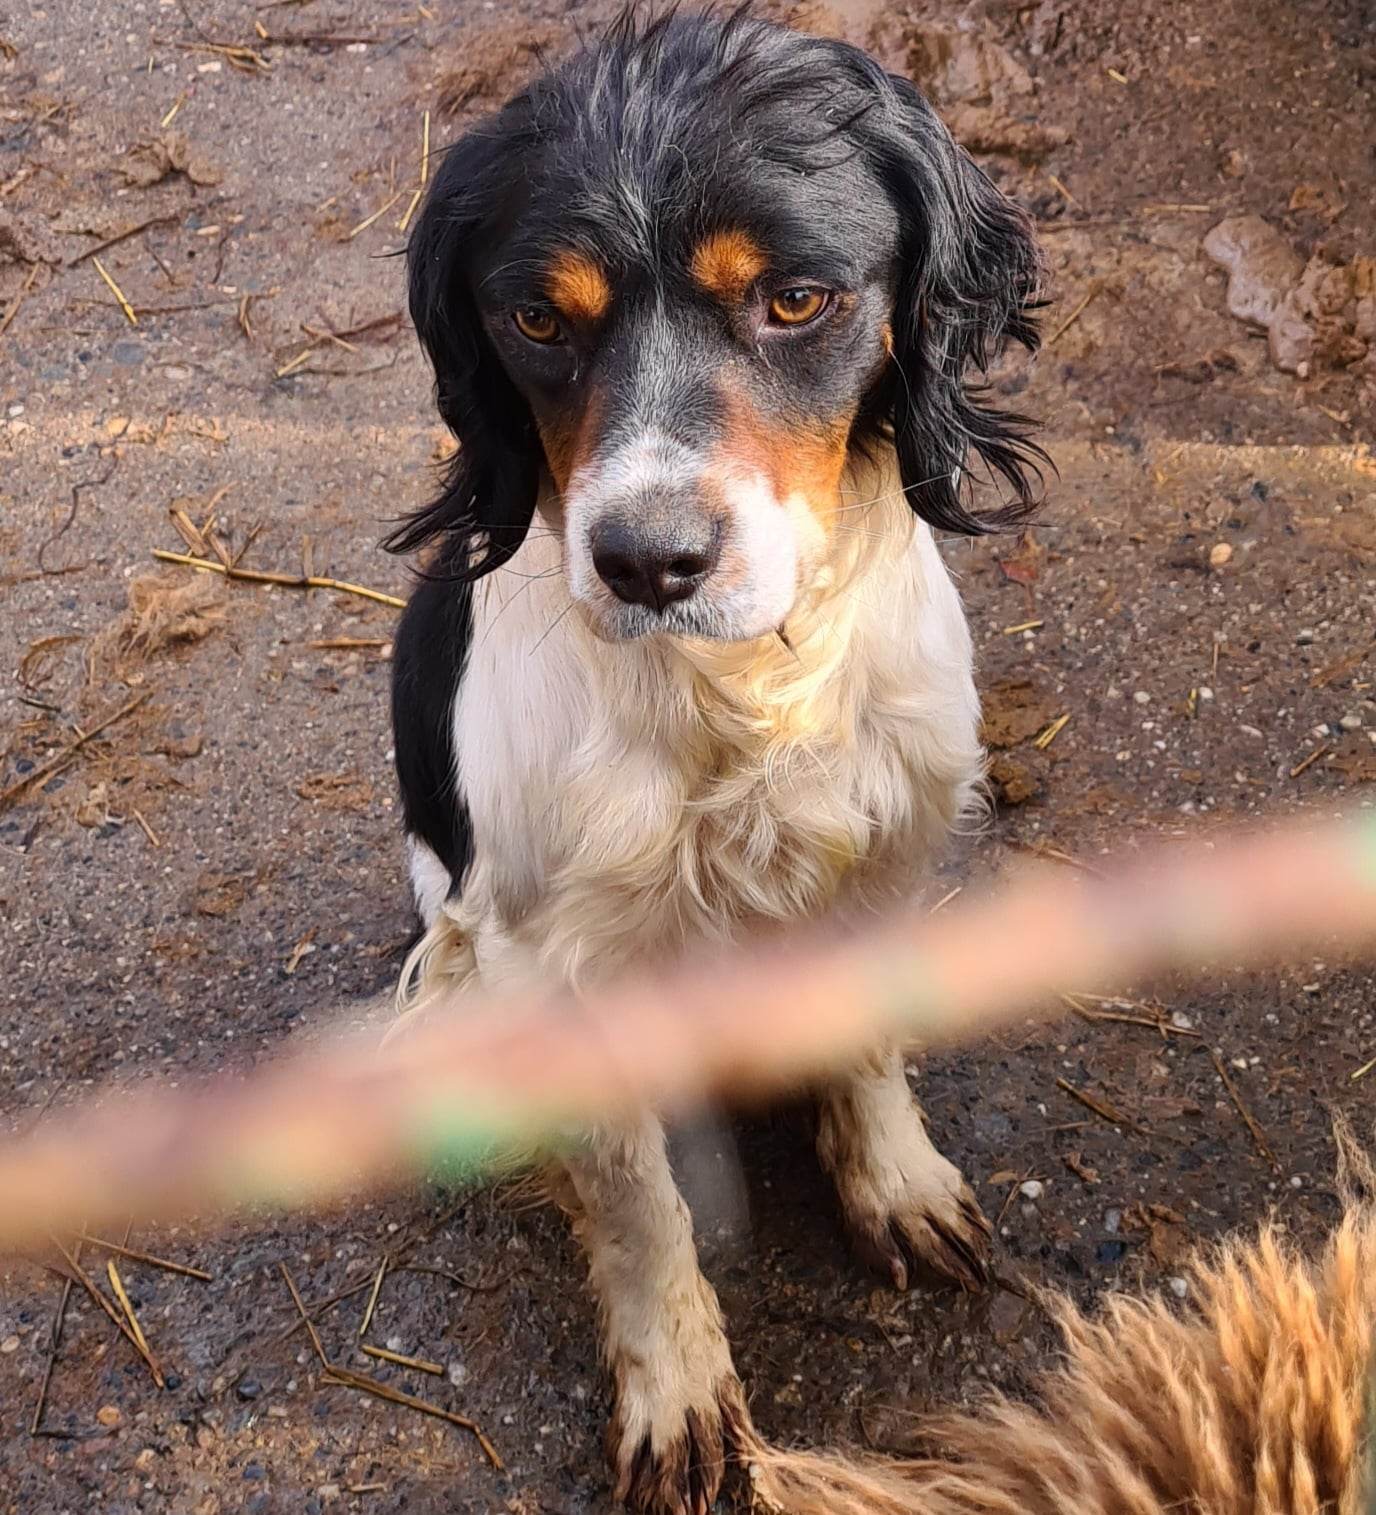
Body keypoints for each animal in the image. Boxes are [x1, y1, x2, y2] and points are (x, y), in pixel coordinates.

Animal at [387, 10, 1044, 1510]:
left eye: (795, 300)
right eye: (537, 319)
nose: (648, 560)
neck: (740, 688)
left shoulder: (894, 842)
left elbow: (865, 1039)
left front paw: (893, 1180)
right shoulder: (553, 960)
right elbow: (638, 1206)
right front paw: (677, 1388)